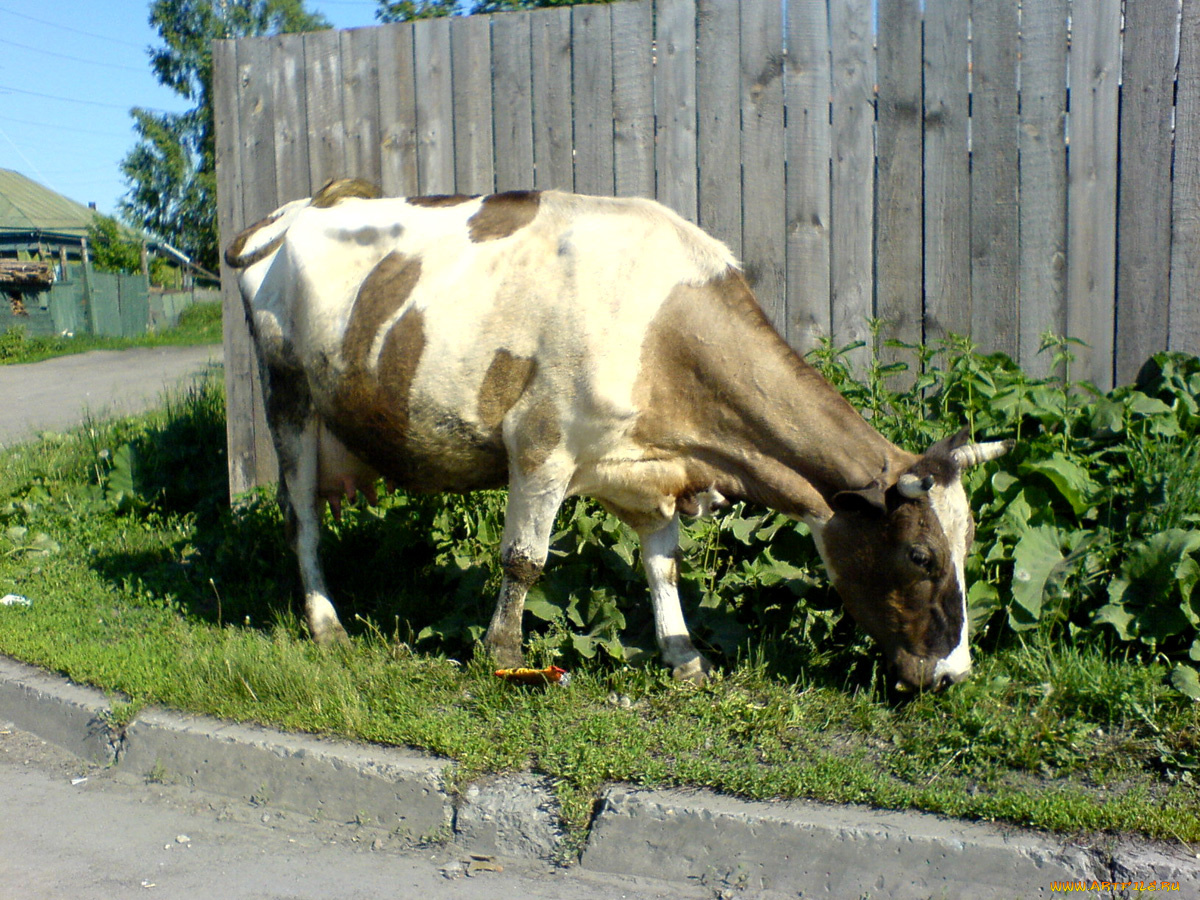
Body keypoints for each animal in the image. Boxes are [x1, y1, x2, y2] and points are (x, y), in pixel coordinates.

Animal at [224, 179, 1011, 693]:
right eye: (920, 555)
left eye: (969, 543)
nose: (954, 675)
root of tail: (298, 210)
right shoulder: (540, 442)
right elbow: (523, 561)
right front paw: (503, 653)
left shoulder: (648, 472)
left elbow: (662, 566)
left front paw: (684, 656)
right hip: (289, 400)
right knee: (301, 520)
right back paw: (326, 623)